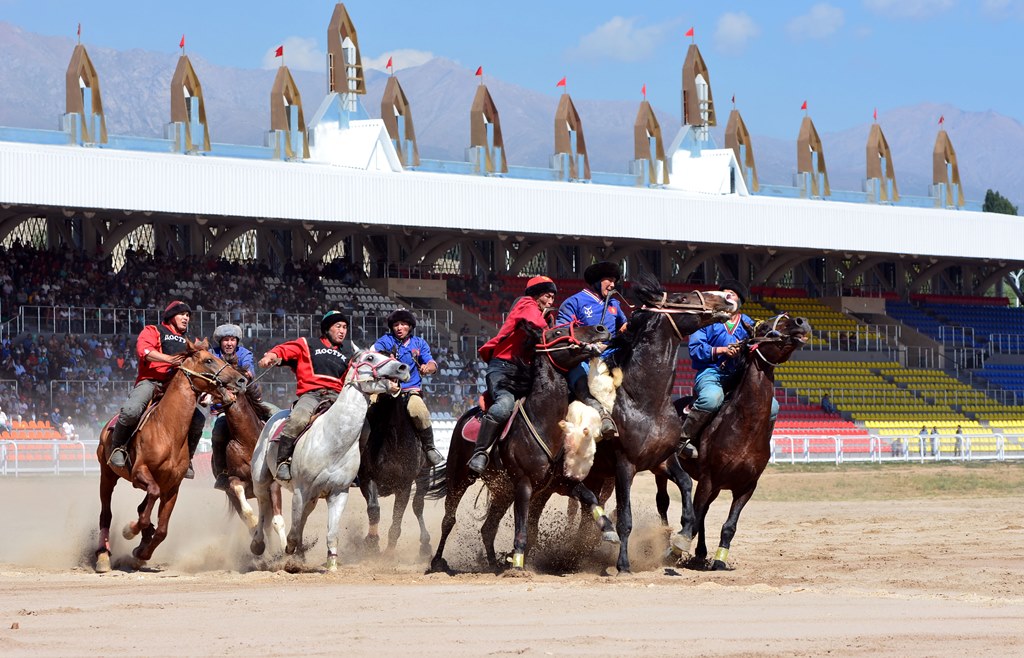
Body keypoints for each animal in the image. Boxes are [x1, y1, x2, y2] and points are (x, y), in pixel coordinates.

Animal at [94, 338, 246, 572]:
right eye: (208, 360)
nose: (240, 379)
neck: (167, 430)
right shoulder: (139, 472)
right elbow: (147, 509)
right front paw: (130, 530)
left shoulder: (172, 487)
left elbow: (162, 530)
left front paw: (141, 553)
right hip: (107, 474)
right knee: (106, 514)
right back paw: (103, 556)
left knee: (142, 507)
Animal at [249, 349, 410, 571]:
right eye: (370, 358)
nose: (403, 368)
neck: (332, 440)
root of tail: (275, 415)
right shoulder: (301, 491)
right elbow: (294, 532)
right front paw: (289, 554)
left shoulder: (338, 492)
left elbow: (331, 533)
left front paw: (331, 564)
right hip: (261, 478)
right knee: (263, 504)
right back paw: (258, 544)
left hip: (313, 497)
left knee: (302, 516)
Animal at [357, 392, 433, 558]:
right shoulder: (367, 478)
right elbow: (373, 509)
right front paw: (372, 543)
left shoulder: (404, 486)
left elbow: (397, 519)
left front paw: (389, 552)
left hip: (424, 474)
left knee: (418, 504)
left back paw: (425, 545)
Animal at [429, 320, 614, 574]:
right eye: (557, 331)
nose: (600, 329)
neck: (544, 421)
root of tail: (466, 416)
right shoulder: (524, 485)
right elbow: (523, 529)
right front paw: (517, 562)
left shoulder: (561, 483)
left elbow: (591, 498)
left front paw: (609, 530)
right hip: (459, 477)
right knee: (449, 519)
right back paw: (437, 561)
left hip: (502, 491)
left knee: (488, 528)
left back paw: (494, 564)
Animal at [671, 313, 810, 570]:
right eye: (764, 327)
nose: (800, 322)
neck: (743, 425)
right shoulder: (707, 480)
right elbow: (694, 519)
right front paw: (674, 550)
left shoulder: (746, 487)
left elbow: (729, 526)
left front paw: (719, 560)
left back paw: (701, 553)